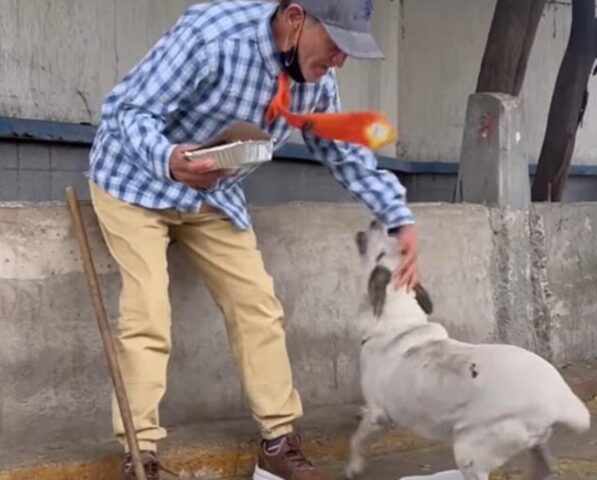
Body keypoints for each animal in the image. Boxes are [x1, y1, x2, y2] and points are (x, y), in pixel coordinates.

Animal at [342, 220, 588, 480]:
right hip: (533, 443)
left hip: (470, 450)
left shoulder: (378, 414)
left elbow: (357, 439)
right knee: (545, 468)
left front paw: (353, 466)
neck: (400, 322)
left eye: (381, 253)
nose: (377, 221)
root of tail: (561, 398)